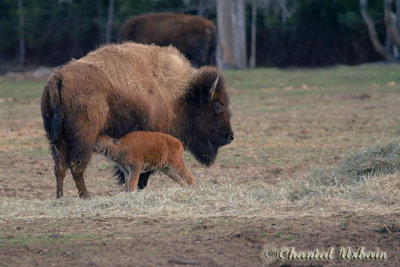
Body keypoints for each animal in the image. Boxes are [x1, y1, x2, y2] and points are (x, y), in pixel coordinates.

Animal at [40, 43, 233, 200]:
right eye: (218, 106)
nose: (230, 136)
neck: (176, 95)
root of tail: (59, 78)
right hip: (83, 139)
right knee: (76, 167)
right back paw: (86, 196)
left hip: (56, 140)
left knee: (59, 167)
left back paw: (60, 197)